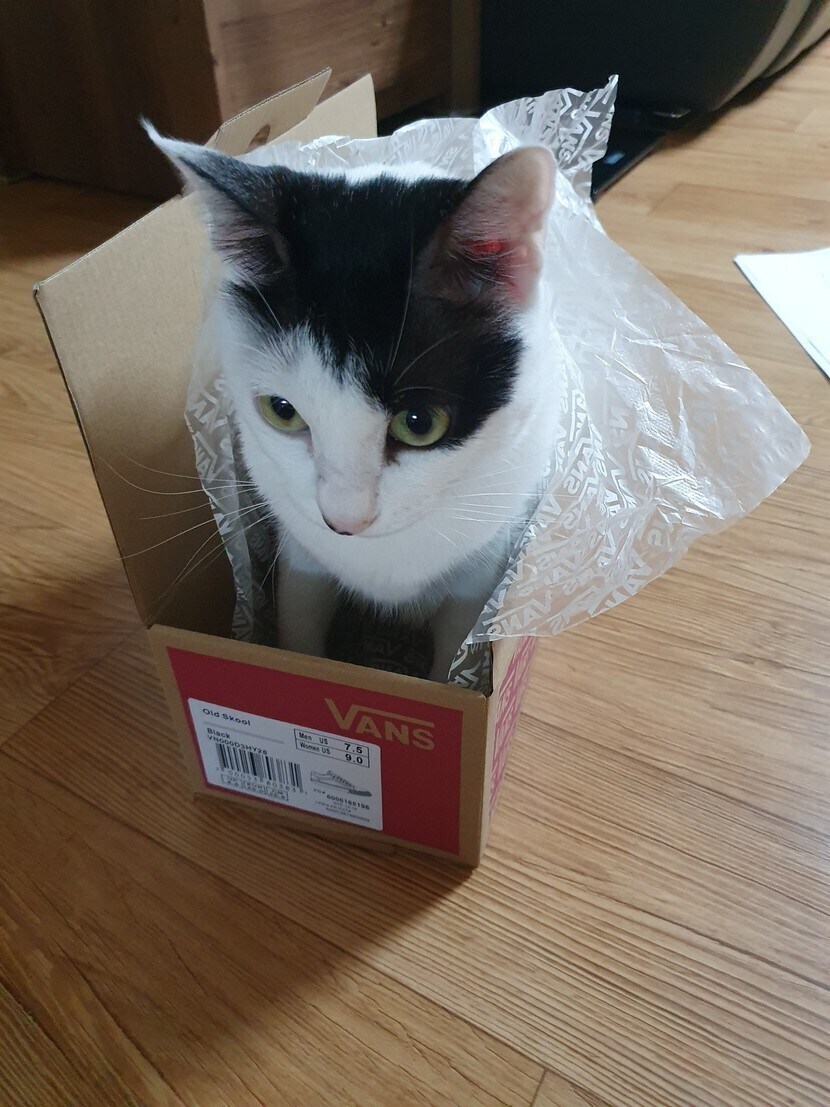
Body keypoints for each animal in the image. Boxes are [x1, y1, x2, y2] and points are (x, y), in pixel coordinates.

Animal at [147, 124, 560, 681]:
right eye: (282, 410)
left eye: (419, 423)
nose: (345, 523)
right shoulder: (300, 554)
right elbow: (299, 629)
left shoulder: (485, 566)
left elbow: (457, 658)